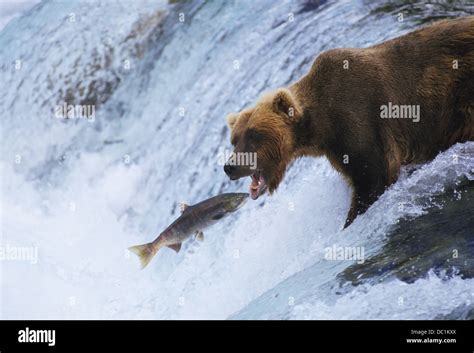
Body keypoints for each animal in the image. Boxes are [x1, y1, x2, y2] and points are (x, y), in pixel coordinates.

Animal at [223, 16, 474, 227]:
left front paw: (349, 221)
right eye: (234, 140)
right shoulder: (337, 148)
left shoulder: (359, 119)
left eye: (254, 135)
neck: (321, 126)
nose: (230, 166)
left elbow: (373, 178)